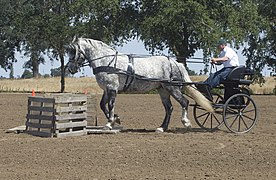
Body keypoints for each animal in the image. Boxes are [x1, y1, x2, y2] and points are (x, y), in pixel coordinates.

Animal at [67, 37, 213, 132]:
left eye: (73, 51)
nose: (70, 68)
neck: (107, 61)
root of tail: (176, 63)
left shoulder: (112, 88)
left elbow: (110, 105)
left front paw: (109, 123)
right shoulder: (106, 89)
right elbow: (103, 105)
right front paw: (115, 119)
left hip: (173, 88)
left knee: (184, 102)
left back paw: (186, 123)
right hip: (163, 90)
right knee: (169, 108)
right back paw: (161, 128)